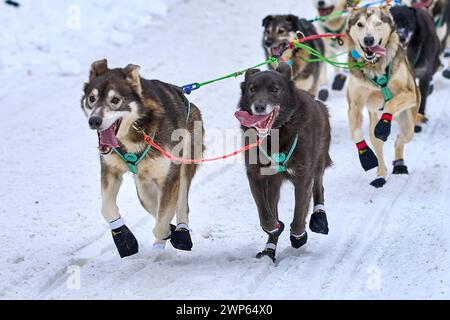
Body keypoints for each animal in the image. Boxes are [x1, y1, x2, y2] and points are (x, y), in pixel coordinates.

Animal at [81, 58, 204, 258]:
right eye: (92, 99)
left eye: (115, 100)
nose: (94, 121)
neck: (136, 129)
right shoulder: (110, 170)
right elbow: (107, 209)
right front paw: (124, 238)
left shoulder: (170, 176)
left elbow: (161, 223)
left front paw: (168, 233)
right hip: (143, 185)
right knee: (152, 203)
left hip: (184, 164)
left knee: (181, 204)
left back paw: (181, 232)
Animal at [346, 6, 420, 188]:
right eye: (360, 24)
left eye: (378, 23)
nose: (368, 40)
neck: (374, 66)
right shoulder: (354, 106)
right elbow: (356, 132)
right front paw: (366, 156)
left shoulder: (410, 94)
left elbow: (391, 103)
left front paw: (384, 126)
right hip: (374, 120)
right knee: (377, 143)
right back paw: (381, 174)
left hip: (408, 124)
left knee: (400, 139)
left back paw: (399, 163)